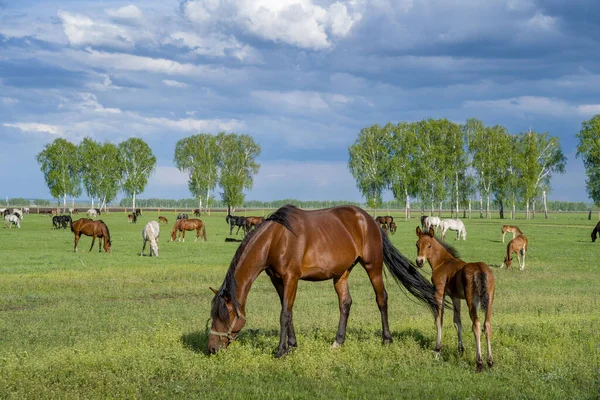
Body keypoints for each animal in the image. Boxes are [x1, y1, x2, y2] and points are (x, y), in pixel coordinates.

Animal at [209, 206, 438, 356]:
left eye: (225, 316)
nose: (211, 348)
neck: (276, 239)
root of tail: (370, 221)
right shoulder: (277, 280)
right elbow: (289, 312)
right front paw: (292, 345)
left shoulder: (291, 278)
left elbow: (284, 314)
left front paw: (281, 350)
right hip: (341, 273)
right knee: (345, 303)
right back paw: (338, 342)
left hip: (372, 265)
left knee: (381, 298)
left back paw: (386, 339)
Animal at [414, 227, 494, 374]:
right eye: (417, 244)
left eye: (429, 245)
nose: (419, 261)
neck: (443, 262)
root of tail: (480, 269)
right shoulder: (456, 297)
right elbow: (457, 322)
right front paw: (460, 350)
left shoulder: (439, 294)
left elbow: (438, 320)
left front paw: (438, 349)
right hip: (489, 300)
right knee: (487, 325)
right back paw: (490, 362)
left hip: (472, 301)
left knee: (476, 324)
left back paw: (479, 363)